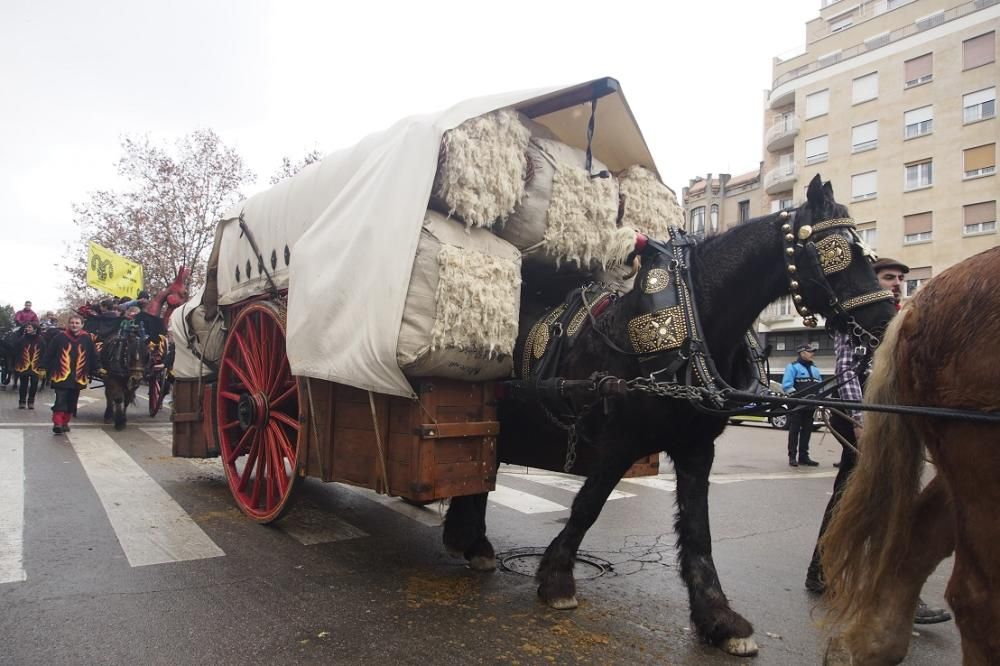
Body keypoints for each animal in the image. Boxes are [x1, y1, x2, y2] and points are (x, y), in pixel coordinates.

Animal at [442, 174, 896, 656]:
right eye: (841, 251)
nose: (888, 323)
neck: (690, 325)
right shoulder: (620, 441)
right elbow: (587, 506)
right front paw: (557, 579)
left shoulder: (696, 448)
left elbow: (698, 532)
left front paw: (719, 618)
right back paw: (473, 541)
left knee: (483, 471)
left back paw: (470, 541)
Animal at [820, 245, 1000, 664]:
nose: (896, 290)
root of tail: (917, 306)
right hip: (977, 454)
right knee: (975, 596)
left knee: (918, 537)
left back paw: (866, 645)